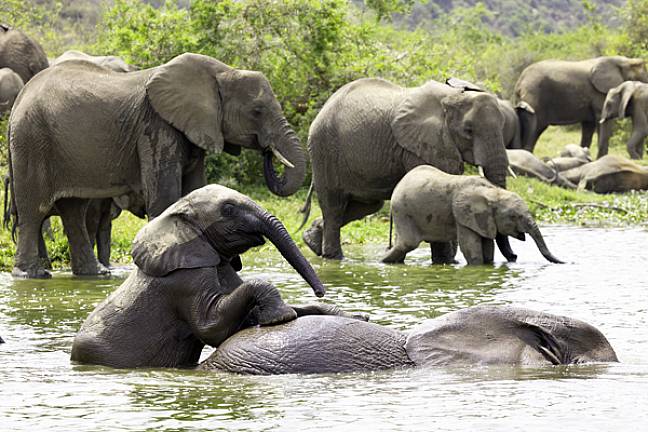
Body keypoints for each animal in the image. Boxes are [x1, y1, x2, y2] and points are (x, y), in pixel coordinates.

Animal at [9, 52, 306, 278]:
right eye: (257, 111)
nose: (268, 152)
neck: (222, 71)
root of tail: (20, 97)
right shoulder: (156, 126)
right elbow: (165, 197)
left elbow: (195, 189)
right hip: (32, 140)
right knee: (35, 209)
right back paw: (32, 275)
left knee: (73, 210)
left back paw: (94, 275)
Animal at [70, 184, 366, 368]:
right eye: (228, 210)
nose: (321, 290)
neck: (177, 215)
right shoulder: (183, 280)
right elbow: (212, 327)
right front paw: (282, 317)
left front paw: (357, 317)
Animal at [300, 78, 510, 260]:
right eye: (468, 130)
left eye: (503, 126)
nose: (514, 257)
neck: (451, 96)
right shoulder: (420, 145)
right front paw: (444, 262)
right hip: (324, 150)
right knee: (334, 206)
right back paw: (334, 257)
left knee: (366, 205)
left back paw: (312, 241)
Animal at [382, 165, 563, 265]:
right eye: (514, 217)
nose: (515, 257)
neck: (492, 192)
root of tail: (398, 185)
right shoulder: (463, 216)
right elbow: (471, 247)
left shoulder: (484, 220)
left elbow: (488, 247)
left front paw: (489, 264)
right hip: (403, 211)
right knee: (408, 243)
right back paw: (381, 262)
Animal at [514, 56, 648, 157]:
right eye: (638, 79)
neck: (624, 61)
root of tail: (519, 81)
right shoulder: (599, 93)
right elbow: (602, 123)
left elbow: (588, 127)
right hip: (533, 96)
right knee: (534, 128)